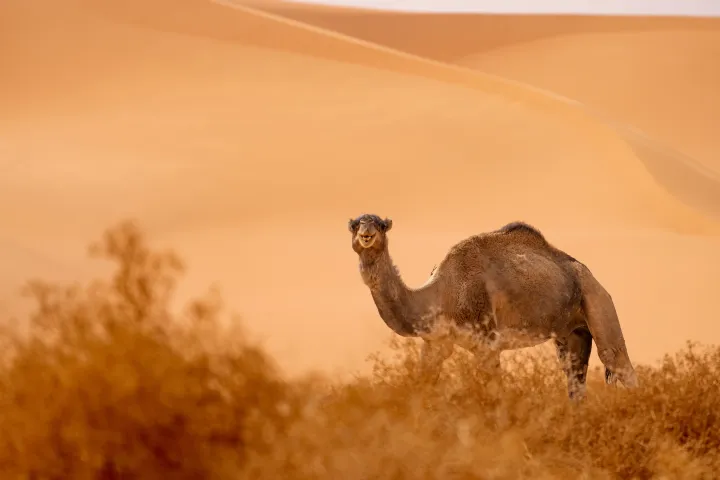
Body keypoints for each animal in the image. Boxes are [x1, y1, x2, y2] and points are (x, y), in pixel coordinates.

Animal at [348, 213, 639, 400]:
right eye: (353, 225)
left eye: (382, 225)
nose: (366, 234)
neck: (441, 292)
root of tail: (589, 273)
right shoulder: (436, 343)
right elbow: (423, 384)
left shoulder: (486, 342)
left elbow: (494, 393)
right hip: (571, 332)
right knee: (574, 378)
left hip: (598, 301)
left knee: (618, 361)